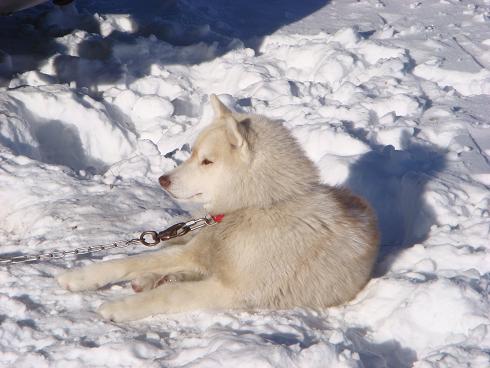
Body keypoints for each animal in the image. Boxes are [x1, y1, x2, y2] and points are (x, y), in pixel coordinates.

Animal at [56, 95, 378, 322]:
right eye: (192, 153)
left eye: (207, 161)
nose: (162, 180)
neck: (258, 206)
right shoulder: (194, 251)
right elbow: (132, 261)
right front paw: (78, 278)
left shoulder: (231, 290)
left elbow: (171, 294)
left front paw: (119, 307)